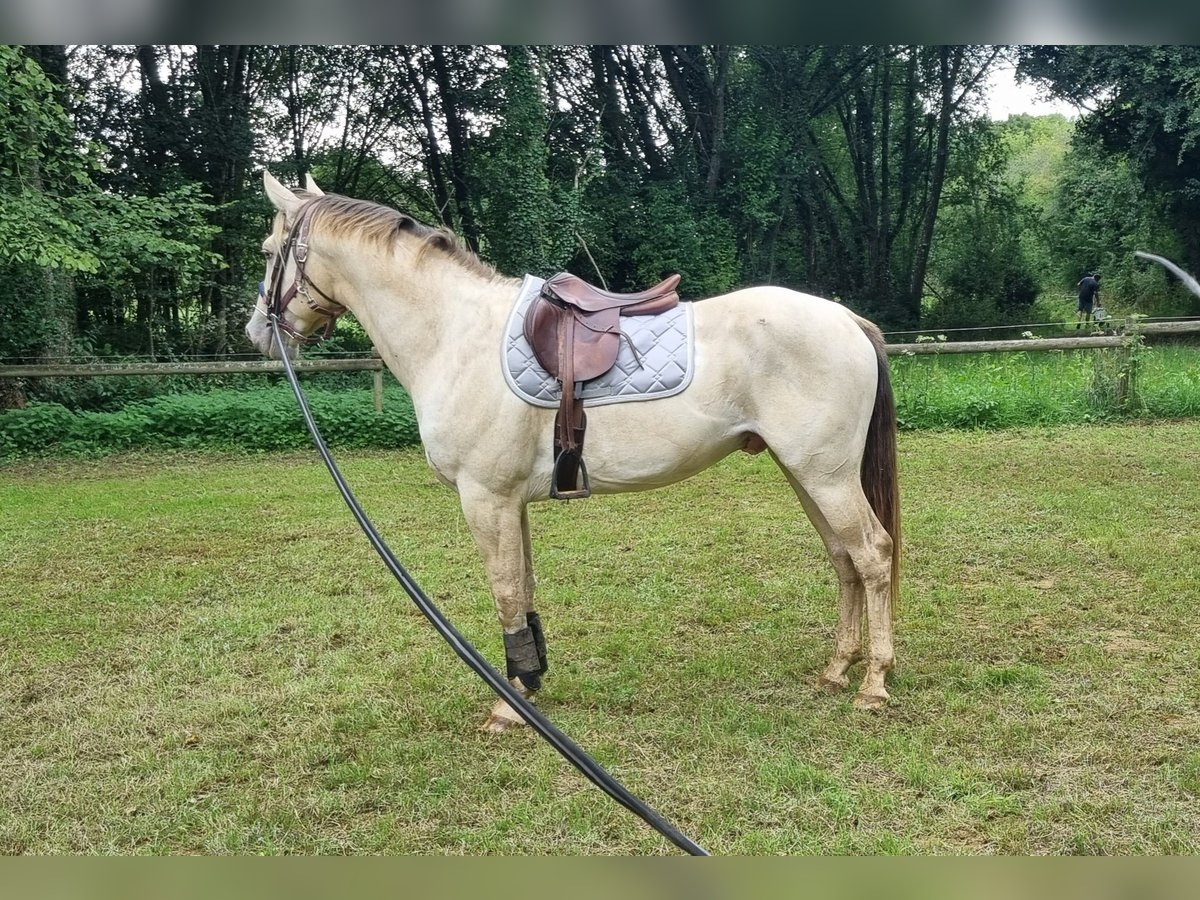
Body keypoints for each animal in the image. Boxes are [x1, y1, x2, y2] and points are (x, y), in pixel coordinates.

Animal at [243, 172, 902, 734]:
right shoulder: (510, 502)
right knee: (843, 558)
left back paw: (872, 683)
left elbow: (507, 593)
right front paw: (529, 686)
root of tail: (846, 319)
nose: (257, 333)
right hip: (806, 473)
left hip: (826, 475)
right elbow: (524, 591)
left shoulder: (486, 499)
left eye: (269, 249)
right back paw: (836, 670)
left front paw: (509, 707)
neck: (455, 335)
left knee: (871, 554)